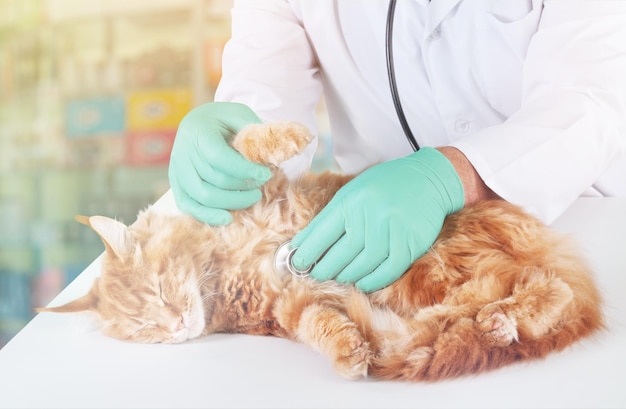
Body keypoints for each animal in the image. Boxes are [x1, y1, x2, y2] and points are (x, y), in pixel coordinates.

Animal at [37, 121, 600, 380]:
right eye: (145, 330)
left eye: (159, 290)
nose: (176, 325)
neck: (221, 270)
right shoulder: (289, 305)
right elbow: (319, 325)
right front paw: (349, 350)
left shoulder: (262, 195)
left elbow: (247, 144)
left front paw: (291, 133)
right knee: (527, 294)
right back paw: (485, 326)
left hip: (436, 269)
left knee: (548, 287)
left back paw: (500, 321)